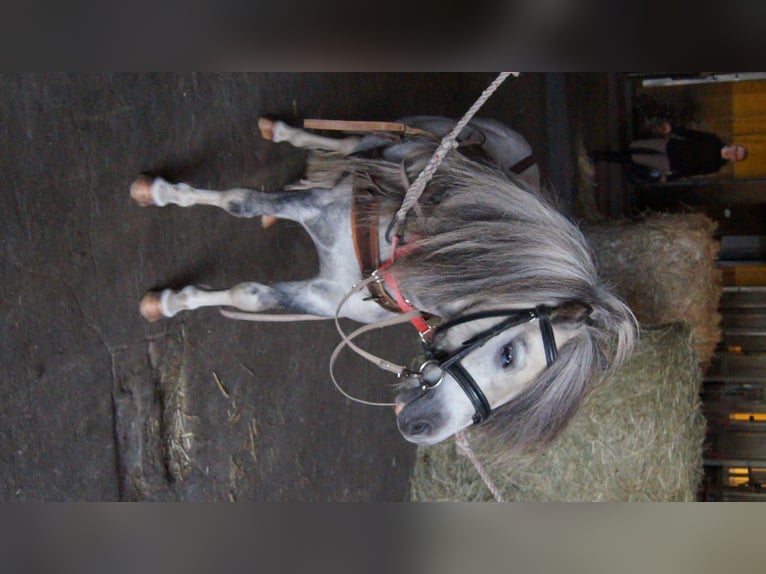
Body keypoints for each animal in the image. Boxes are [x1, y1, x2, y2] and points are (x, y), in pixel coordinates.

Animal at [130, 115, 636, 451]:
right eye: (509, 355)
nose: (422, 429)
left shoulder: (324, 296)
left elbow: (249, 295)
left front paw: (174, 301)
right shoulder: (318, 208)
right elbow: (239, 202)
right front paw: (157, 194)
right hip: (401, 133)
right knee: (354, 138)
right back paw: (283, 131)